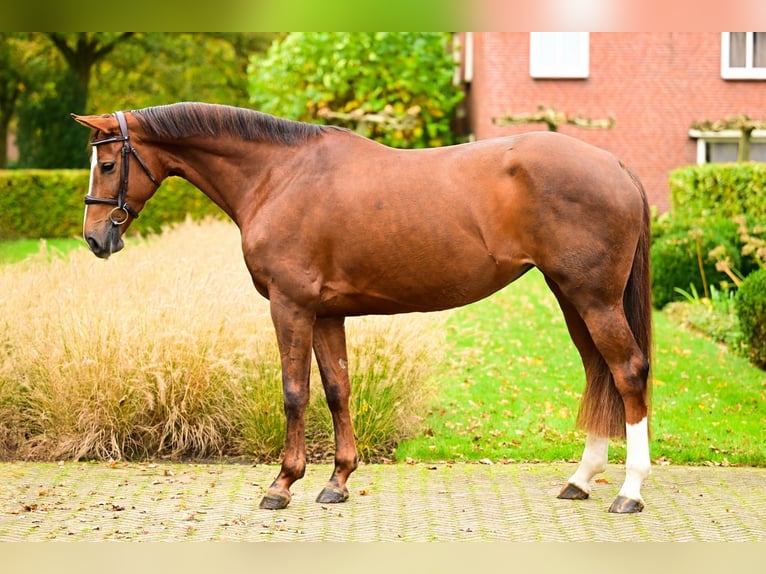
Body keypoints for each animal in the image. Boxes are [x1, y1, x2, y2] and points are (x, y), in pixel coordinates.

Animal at [73, 104, 656, 516]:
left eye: (108, 164)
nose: (96, 240)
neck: (278, 175)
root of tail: (616, 165)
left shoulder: (291, 306)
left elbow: (294, 392)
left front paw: (282, 484)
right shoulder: (326, 313)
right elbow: (338, 389)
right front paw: (337, 481)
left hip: (594, 299)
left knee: (627, 372)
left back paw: (629, 491)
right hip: (571, 297)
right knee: (599, 372)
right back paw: (580, 480)